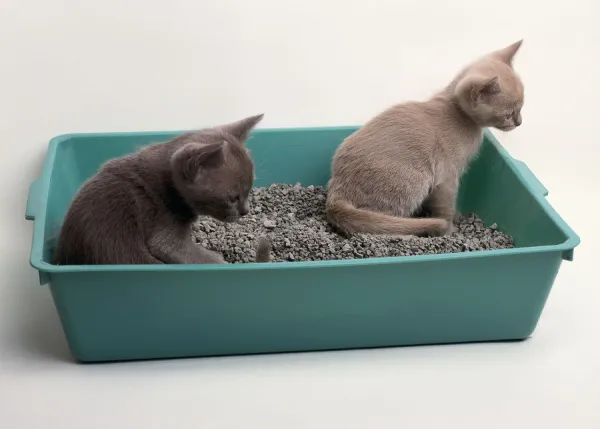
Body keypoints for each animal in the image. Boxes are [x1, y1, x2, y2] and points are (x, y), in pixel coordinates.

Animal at [54, 113, 270, 264]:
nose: (245, 211)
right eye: (233, 198)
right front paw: (218, 259)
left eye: (249, 191)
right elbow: (197, 256)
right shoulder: (165, 236)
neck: (166, 189)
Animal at [326, 39, 524, 237]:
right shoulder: (447, 176)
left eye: (522, 106)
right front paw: (450, 229)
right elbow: (446, 207)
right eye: (508, 114)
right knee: (379, 224)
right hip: (412, 183)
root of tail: (337, 188)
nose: (520, 122)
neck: (458, 113)